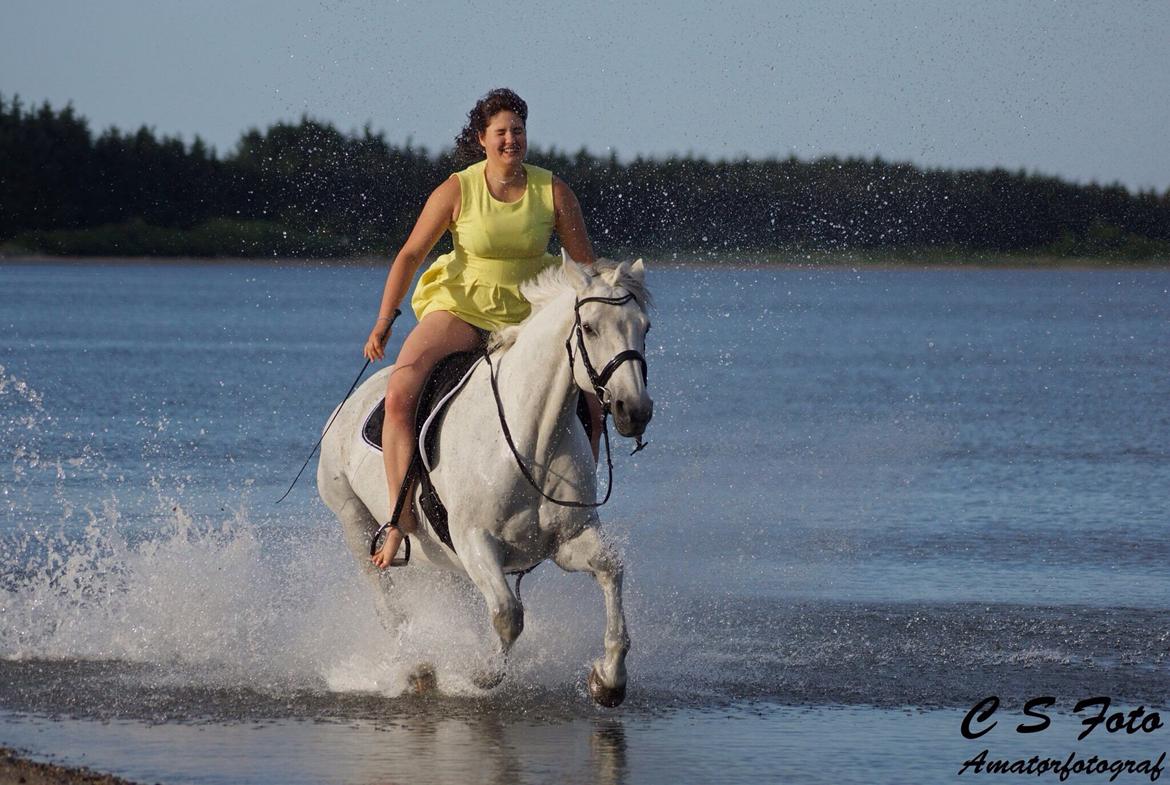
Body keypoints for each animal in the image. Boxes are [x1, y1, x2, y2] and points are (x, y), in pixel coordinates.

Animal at [315, 256, 655, 706]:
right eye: (589, 327)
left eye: (644, 327)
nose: (634, 410)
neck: (532, 438)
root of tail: (347, 405)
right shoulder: (475, 540)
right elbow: (508, 614)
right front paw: (481, 673)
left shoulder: (568, 540)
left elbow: (610, 568)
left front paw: (608, 680)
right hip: (354, 522)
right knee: (389, 608)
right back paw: (418, 666)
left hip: (441, 559)